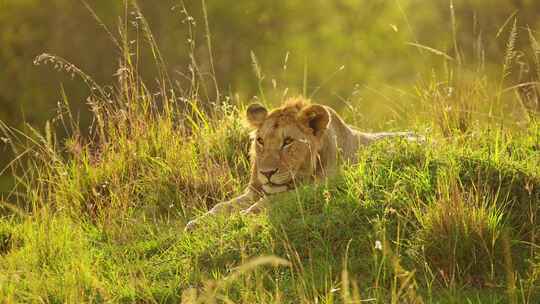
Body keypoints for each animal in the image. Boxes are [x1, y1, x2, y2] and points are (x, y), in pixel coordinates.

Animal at [186, 97, 418, 230]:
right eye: (260, 141)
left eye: (287, 142)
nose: (266, 173)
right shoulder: (254, 191)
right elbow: (221, 206)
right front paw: (197, 223)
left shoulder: (320, 187)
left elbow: (274, 201)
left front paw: (243, 217)